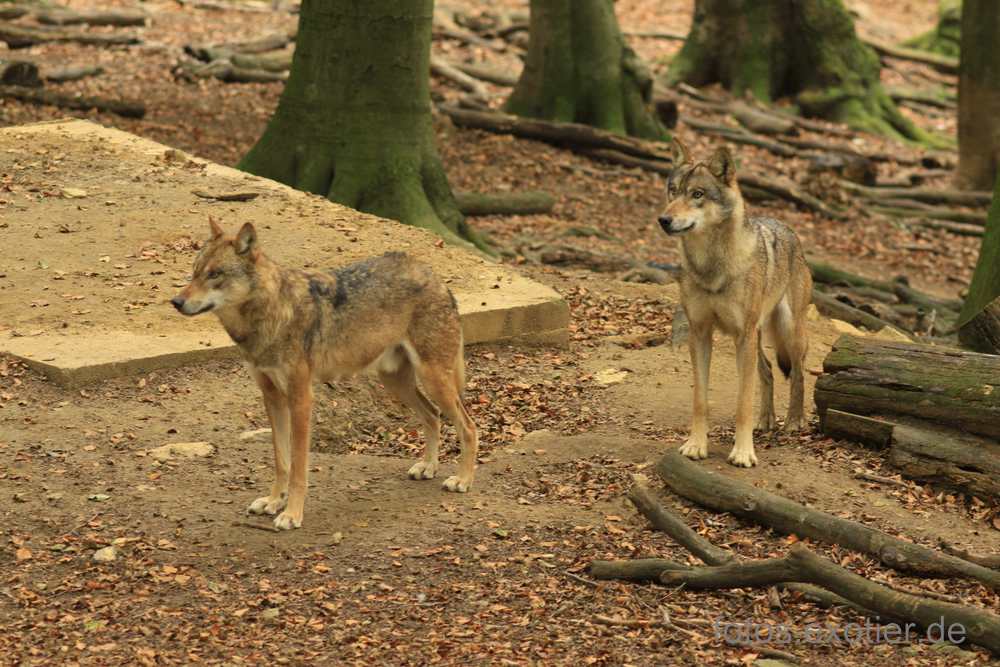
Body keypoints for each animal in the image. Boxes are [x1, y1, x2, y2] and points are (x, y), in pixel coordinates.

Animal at [171, 218, 478, 530]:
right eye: (195, 271)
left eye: (215, 274)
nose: (176, 301)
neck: (271, 314)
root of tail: (435, 276)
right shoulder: (272, 397)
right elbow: (281, 461)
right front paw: (273, 501)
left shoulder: (301, 399)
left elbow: (298, 467)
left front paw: (292, 514)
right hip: (396, 382)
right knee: (433, 416)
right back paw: (428, 466)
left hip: (433, 380)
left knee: (468, 426)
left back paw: (463, 480)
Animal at [657, 139, 812, 467]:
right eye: (673, 190)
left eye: (698, 194)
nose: (664, 220)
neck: (711, 266)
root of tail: (787, 227)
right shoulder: (700, 334)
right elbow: (700, 400)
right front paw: (695, 445)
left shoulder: (742, 336)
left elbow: (743, 402)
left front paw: (743, 453)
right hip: (756, 337)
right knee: (768, 371)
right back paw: (766, 420)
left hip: (788, 332)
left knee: (798, 374)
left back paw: (793, 421)